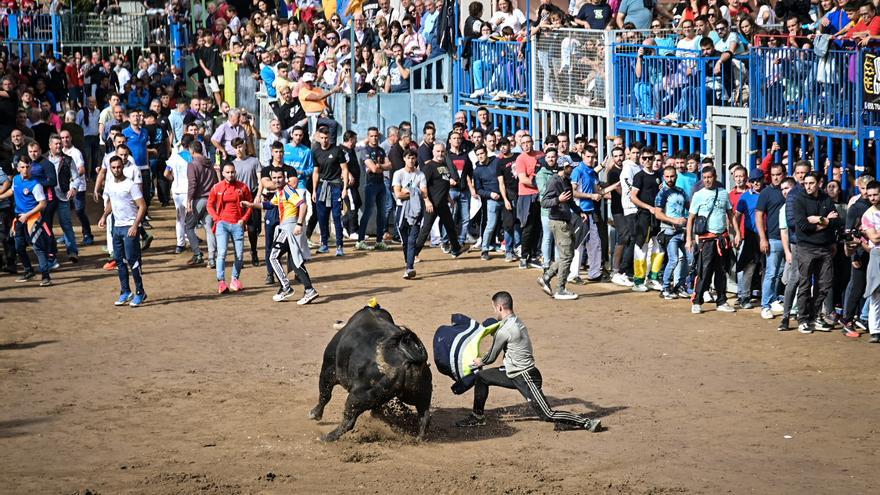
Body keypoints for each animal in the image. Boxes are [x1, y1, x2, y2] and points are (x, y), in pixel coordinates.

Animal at [310, 306, 434, 442]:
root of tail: (408, 359)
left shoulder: (328, 369)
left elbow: (325, 395)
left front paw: (314, 414)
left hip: (357, 396)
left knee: (349, 420)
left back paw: (327, 437)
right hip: (422, 394)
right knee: (425, 417)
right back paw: (418, 439)